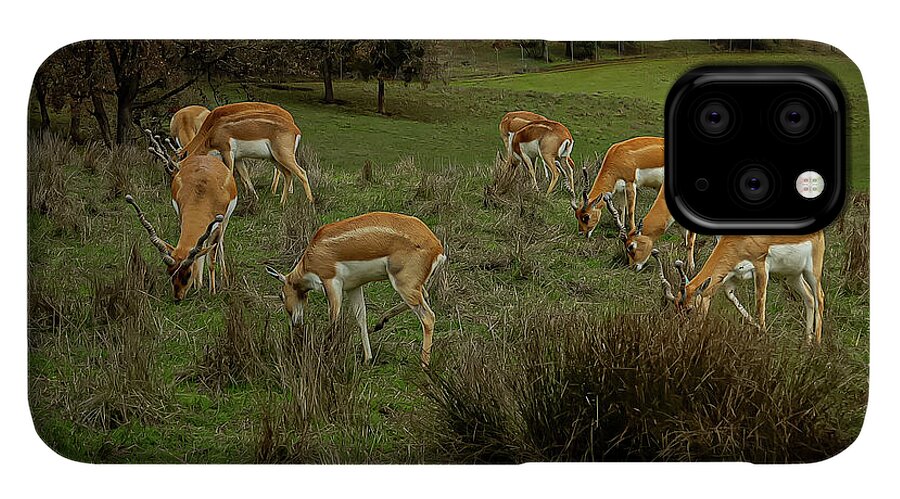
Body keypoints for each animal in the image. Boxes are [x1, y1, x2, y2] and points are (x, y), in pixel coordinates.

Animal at [126, 131, 237, 301]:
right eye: (170, 272)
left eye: (188, 273)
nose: (178, 298)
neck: (202, 193)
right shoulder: (182, 217)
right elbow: (198, 253)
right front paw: (198, 286)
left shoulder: (217, 225)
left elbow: (211, 259)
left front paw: (212, 292)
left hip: (225, 221)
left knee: (219, 244)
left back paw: (224, 278)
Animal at [176, 101, 313, 206]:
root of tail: (295, 129)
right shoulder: (238, 159)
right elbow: (245, 176)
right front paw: (253, 197)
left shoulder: (227, 152)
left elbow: (230, 175)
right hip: (275, 158)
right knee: (287, 174)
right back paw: (282, 202)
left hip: (283, 156)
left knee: (301, 172)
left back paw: (309, 202)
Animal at [265, 212, 447, 367]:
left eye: (281, 295)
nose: (295, 323)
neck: (312, 255)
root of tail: (437, 247)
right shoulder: (353, 287)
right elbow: (361, 318)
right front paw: (367, 358)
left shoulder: (331, 283)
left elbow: (334, 319)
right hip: (411, 286)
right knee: (425, 296)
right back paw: (380, 323)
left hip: (403, 285)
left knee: (428, 317)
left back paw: (424, 364)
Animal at [652, 231, 826, 343]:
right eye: (676, 308)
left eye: (689, 309)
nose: (683, 333)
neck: (740, 240)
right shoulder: (732, 276)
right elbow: (731, 297)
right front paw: (758, 328)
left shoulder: (761, 268)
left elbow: (759, 302)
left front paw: (762, 334)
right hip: (792, 275)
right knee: (809, 297)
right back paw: (807, 342)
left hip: (812, 272)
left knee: (820, 297)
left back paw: (816, 345)